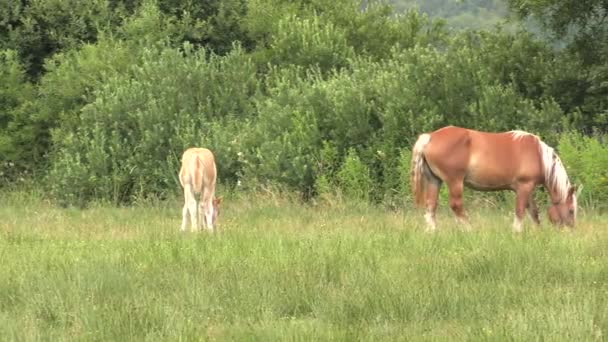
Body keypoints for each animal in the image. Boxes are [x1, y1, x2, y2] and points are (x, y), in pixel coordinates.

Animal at [410, 126, 576, 232]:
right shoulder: (524, 187)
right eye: (571, 210)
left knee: (431, 206)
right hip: (454, 182)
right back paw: (470, 230)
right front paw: (517, 232)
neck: (538, 155)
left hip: (434, 181)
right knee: (456, 206)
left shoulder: (527, 189)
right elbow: (520, 211)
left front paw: (538, 232)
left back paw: (432, 232)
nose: (571, 230)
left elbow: (533, 212)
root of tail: (430, 137)